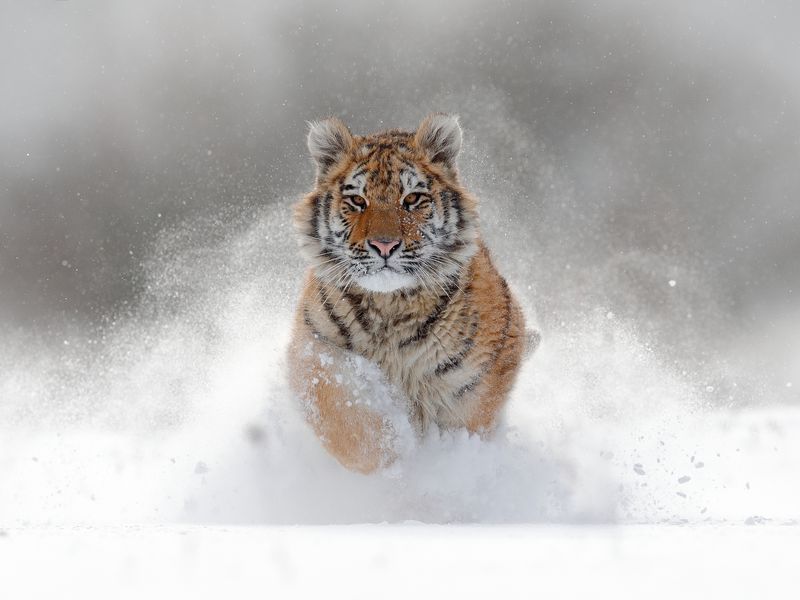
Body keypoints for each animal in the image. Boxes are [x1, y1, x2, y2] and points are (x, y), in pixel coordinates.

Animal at [284, 111, 536, 468]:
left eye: (412, 198)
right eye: (357, 200)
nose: (383, 245)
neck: (391, 307)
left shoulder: (477, 382)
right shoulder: (314, 350)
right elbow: (348, 420)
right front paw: (392, 458)